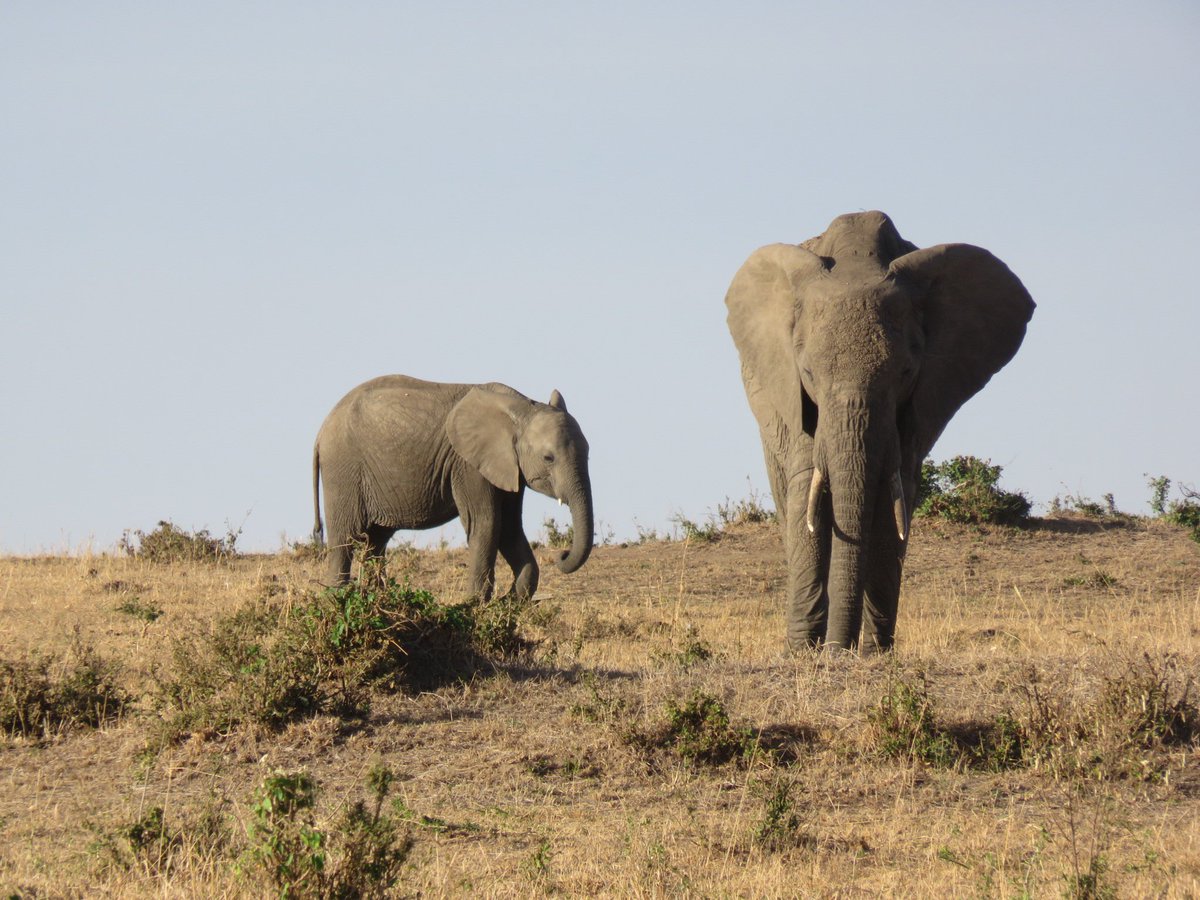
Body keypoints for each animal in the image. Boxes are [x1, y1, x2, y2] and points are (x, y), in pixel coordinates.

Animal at [312, 375, 593, 596]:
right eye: (548, 458)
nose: (562, 554)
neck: (522, 409)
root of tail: (321, 429)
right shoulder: (468, 465)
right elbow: (487, 524)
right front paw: (474, 606)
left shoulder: (509, 469)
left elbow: (510, 528)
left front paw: (507, 602)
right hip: (342, 471)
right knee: (344, 540)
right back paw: (337, 600)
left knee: (376, 542)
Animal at [725, 211, 1034, 652]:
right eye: (808, 374)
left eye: (905, 373)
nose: (838, 652)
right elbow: (807, 495)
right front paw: (803, 653)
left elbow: (894, 497)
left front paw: (874, 654)